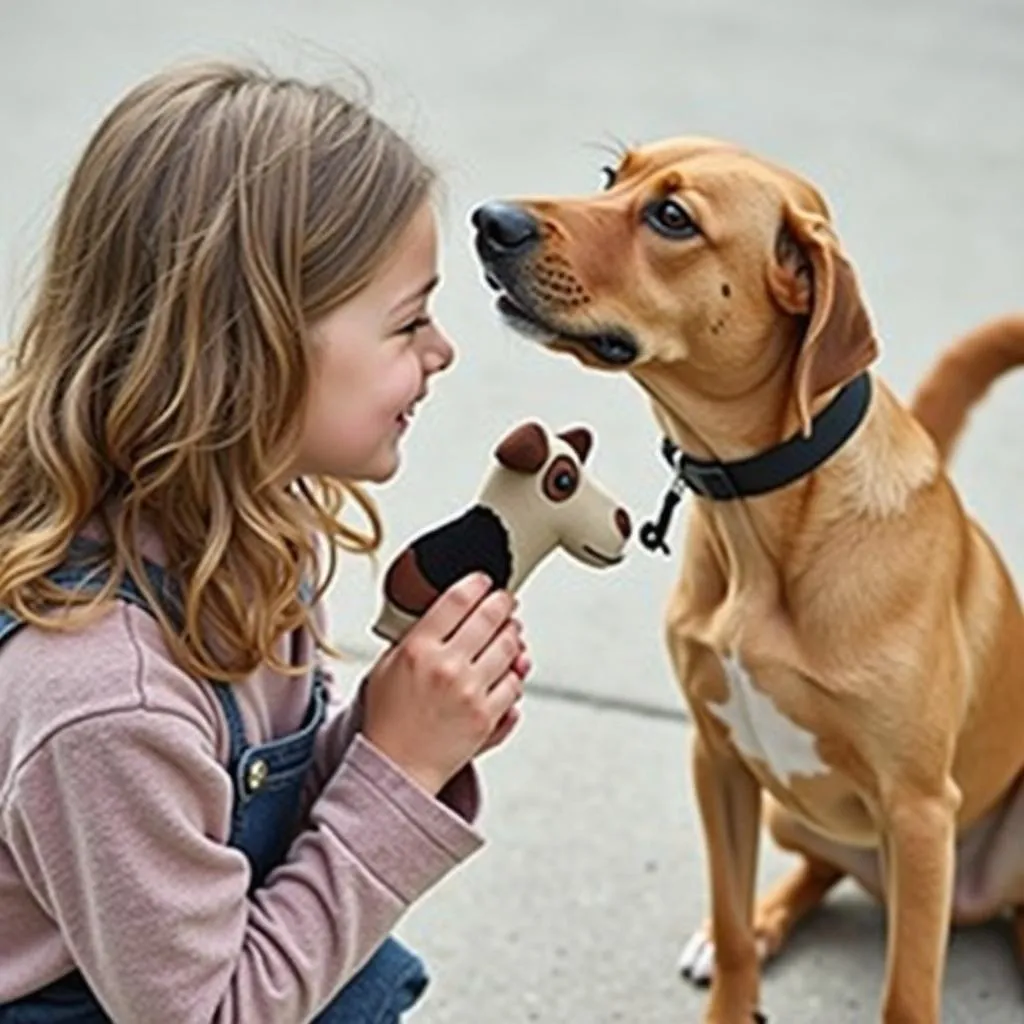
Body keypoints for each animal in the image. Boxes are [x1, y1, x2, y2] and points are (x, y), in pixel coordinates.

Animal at [475, 138, 1024, 1024]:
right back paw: (772, 919)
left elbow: (907, 994)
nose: (489, 221)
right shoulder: (719, 759)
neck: (765, 519)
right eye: (612, 177)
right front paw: (738, 956)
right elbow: (731, 926)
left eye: (672, 217)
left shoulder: (916, 810)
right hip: (790, 814)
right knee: (821, 868)